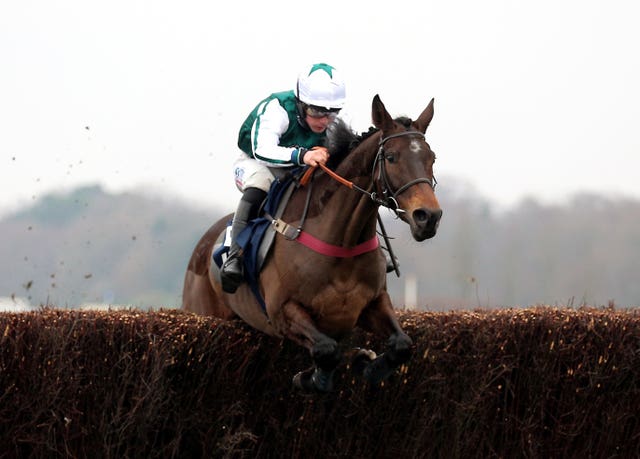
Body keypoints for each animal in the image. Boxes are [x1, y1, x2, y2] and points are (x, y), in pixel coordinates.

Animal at [180, 95, 440, 394]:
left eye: (432, 157)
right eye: (391, 157)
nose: (428, 216)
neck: (343, 244)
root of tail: (201, 246)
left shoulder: (374, 303)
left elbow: (402, 345)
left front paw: (368, 364)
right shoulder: (282, 312)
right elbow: (327, 349)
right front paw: (313, 377)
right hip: (201, 312)